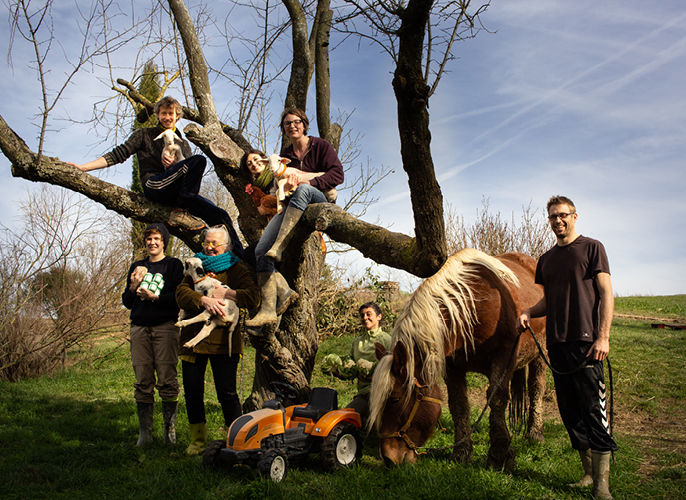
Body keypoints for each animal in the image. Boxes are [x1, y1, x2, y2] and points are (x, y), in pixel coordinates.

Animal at [370, 248, 548, 470]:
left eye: (395, 399)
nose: (388, 458)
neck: (474, 307)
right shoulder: (453, 367)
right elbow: (458, 404)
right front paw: (461, 453)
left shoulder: (504, 358)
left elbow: (497, 399)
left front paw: (500, 455)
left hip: (541, 353)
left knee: (537, 388)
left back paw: (535, 433)